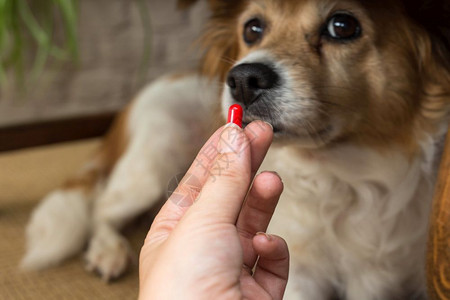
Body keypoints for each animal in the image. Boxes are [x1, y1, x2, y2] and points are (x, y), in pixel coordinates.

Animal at [22, 0, 450, 298]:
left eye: (343, 26)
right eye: (253, 28)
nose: (243, 78)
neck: (345, 174)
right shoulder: (302, 276)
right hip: (153, 163)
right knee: (102, 207)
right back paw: (108, 250)